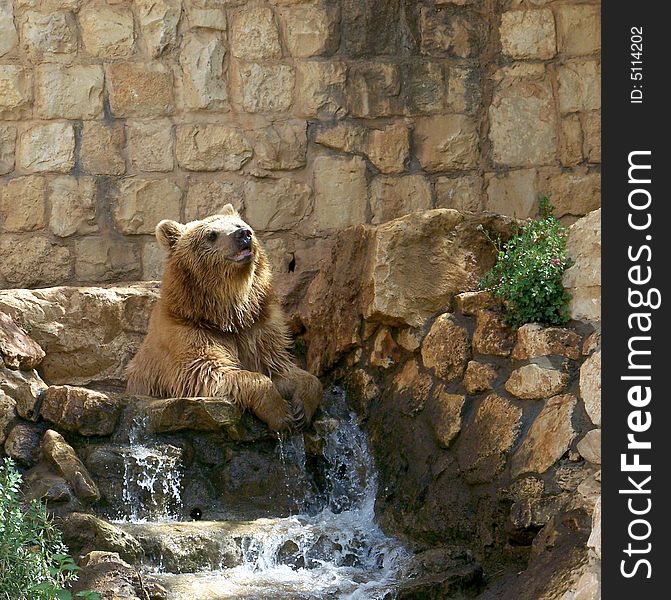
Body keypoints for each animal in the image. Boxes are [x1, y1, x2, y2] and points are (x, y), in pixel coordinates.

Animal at [128, 206, 326, 432]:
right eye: (211, 234)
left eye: (239, 224)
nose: (243, 234)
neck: (224, 317)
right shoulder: (187, 338)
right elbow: (210, 374)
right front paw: (282, 415)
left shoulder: (258, 333)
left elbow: (281, 368)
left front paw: (302, 410)